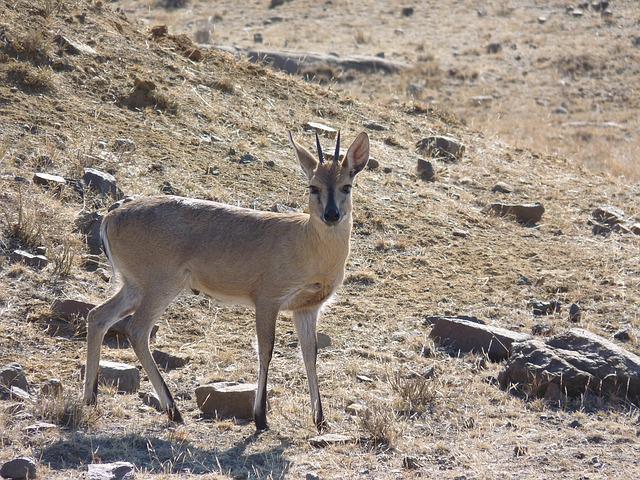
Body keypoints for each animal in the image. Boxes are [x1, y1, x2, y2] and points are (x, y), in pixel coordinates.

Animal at [84, 128, 370, 432]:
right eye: (313, 186)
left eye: (347, 185)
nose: (331, 215)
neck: (308, 245)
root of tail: (111, 217)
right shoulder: (267, 300)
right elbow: (266, 350)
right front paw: (260, 418)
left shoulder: (307, 308)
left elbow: (310, 354)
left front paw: (321, 420)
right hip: (160, 286)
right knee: (136, 330)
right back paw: (173, 410)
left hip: (133, 286)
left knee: (98, 315)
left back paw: (91, 398)